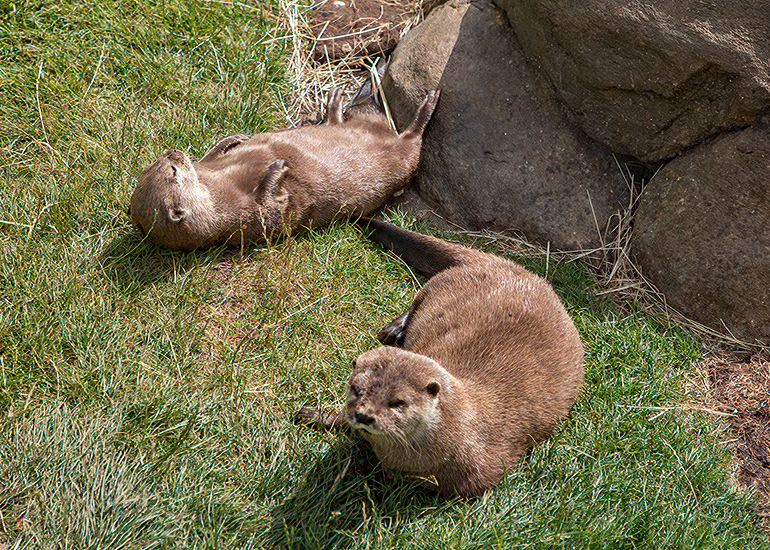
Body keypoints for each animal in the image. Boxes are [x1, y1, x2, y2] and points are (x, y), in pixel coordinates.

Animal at [128, 89, 439, 250]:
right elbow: (274, 211)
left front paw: (231, 140)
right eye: (173, 171)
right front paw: (275, 170)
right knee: (414, 141)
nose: (173, 152)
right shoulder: (244, 222)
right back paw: (428, 104)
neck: (220, 189)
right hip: (402, 160)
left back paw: (334, 104)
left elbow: (212, 154)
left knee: (338, 124)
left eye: (154, 163)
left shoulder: (208, 168)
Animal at [297, 218, 584, 497]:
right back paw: (394, 329)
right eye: (356, 390)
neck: (462, 429)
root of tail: (507, 264)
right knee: (418, 299)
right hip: (441, 284)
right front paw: (316, 415)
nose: (364, 416)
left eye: (398, 402)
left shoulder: (483, 472)